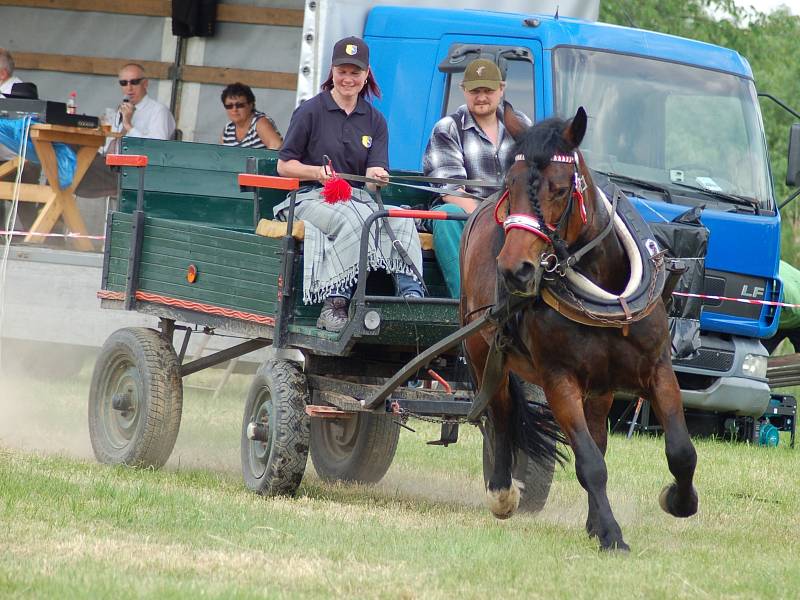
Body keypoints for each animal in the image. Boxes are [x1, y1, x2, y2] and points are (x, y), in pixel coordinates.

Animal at [460, 106, 696, 548]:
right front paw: (613, 535)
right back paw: (502, 492)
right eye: (510, 185)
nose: (514, 270)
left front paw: (678, 501)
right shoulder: (559, 380)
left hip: (600, 386)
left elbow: (680, 450)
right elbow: (589, 462)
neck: (608, 291)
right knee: (500, 415)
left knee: (598, 434)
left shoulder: (657, 369)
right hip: (484, 353)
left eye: (558, 188)